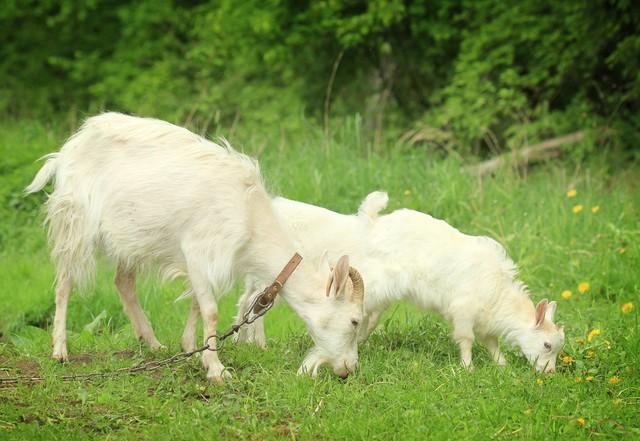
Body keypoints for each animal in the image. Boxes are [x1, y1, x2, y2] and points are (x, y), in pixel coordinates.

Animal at [26, 111, 364, 380]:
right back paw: (60, 350)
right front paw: (216, 369)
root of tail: (69, 148)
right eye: (355, 320)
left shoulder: (206, 260)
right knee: (64, 282)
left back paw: (152, 342)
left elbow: (197, 304)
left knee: (123, 282)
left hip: (131, 237)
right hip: (76, 221)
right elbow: (210, 310)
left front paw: (190, 349)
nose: (349, 368)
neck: (248, 215)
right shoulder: (200, 250)